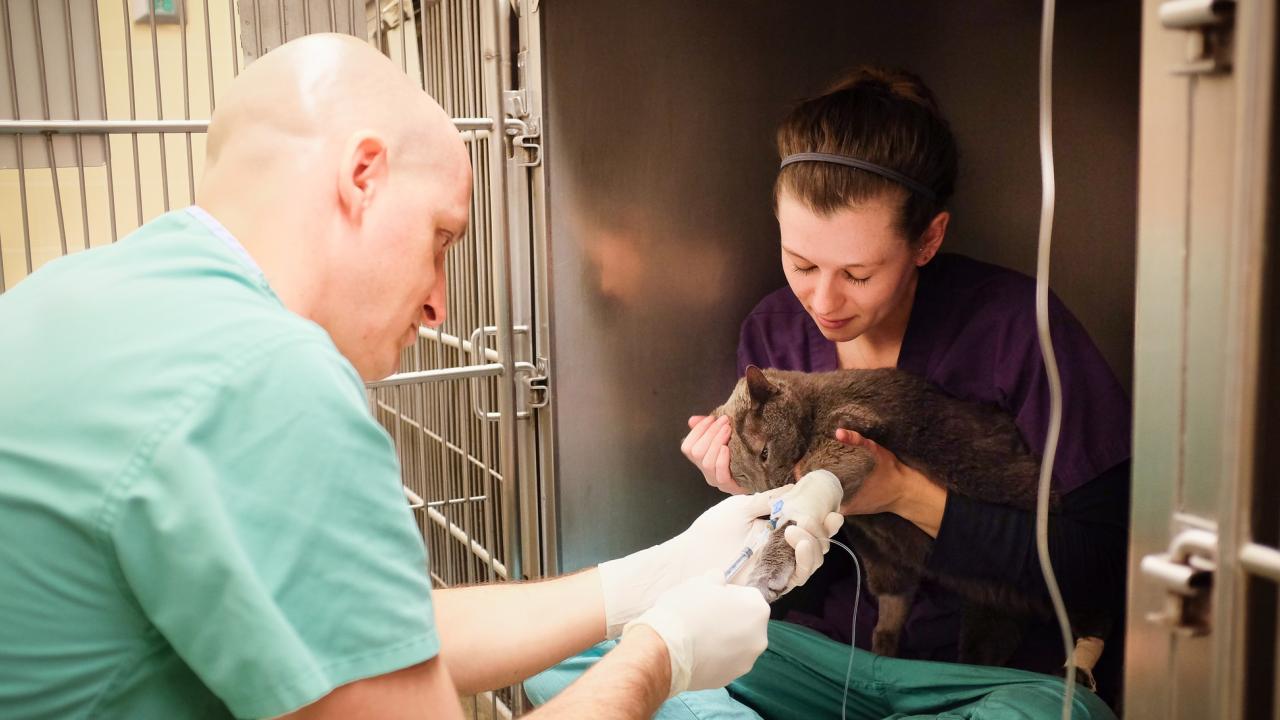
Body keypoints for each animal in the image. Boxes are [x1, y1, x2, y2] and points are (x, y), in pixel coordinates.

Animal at [711, 363, 1111, 671]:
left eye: (764, 453)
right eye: (742, 478)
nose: (768, 488)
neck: (811, 410)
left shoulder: (847, 443)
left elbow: (799, 511)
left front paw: (770, 568)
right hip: (976, 608)